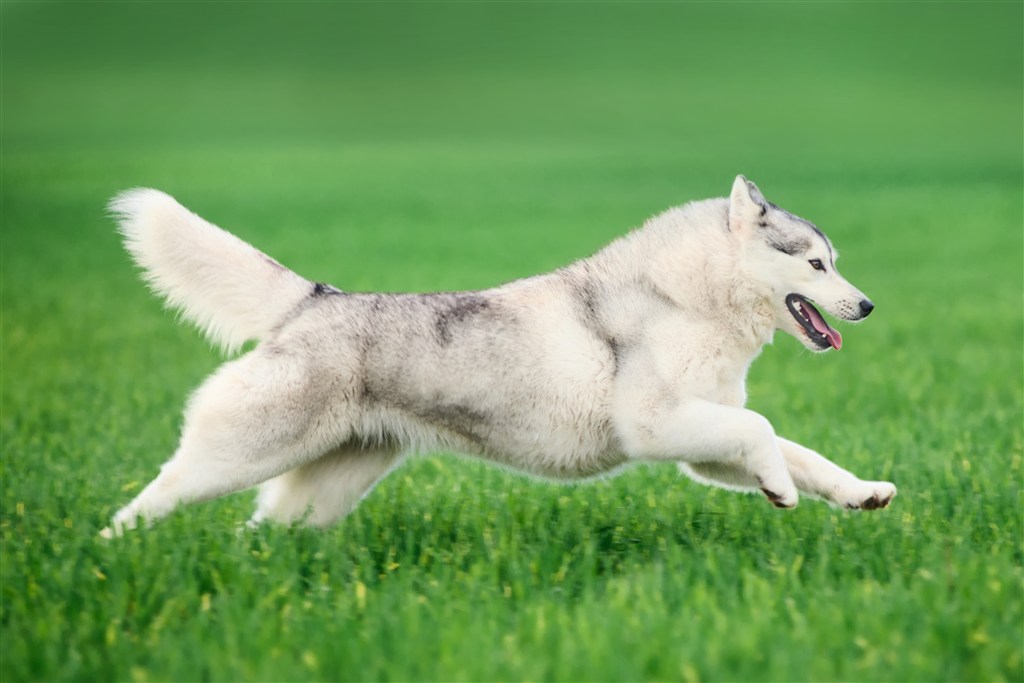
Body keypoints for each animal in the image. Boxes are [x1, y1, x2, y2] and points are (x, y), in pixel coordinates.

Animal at [97, 178, 897, 540]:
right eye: (817, 265)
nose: (866, 306)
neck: (687, 300)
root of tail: (313, 299)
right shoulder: (659, 427)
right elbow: (766, 435)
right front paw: (781, 493)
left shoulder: (705, 442)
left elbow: (795, 449)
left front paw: (860, 492)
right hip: (240, 452)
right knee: (156, 495)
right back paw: (111, 551)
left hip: (323, 490)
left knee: (259, 533)